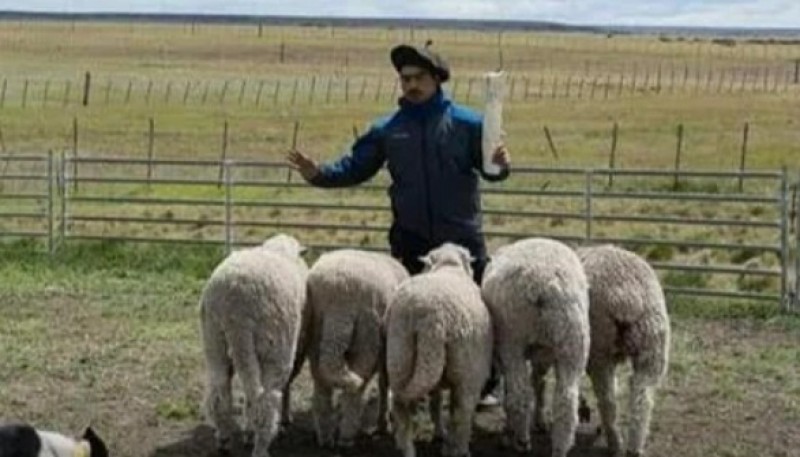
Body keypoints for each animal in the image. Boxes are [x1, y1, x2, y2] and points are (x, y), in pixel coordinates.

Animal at [200, 233, 310, 454]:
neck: (279, 249)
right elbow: (287, 386)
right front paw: (285, 418)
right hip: (275, 348)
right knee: (265, 402)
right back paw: (260, 446)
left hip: (215, 341)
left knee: (219, 395)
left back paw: (224, 439)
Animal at [384, 242, 490, 456]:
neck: (448, 266)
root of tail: (426, 315)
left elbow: (436, 402)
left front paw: (439, 432)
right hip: (467, 369)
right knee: (463, 411)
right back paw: (459, 449)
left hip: (401, 352)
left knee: (401, 406)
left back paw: (406, 448)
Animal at [478, 237, 592, 456]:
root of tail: (542, 285)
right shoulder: (544, 353)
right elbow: (540, 382)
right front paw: (540, 421)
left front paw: (511, 428)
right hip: (572, 342)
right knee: (566, 402)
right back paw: (560, 447)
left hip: (512, 341)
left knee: (519, 394)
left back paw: (521, 440)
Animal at [580, 244, 672, 456]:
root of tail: (627, 296)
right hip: (652, 347)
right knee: (642, 396)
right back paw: (634, 446)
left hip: (600, 348)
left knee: (607, 399)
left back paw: (614, 441)